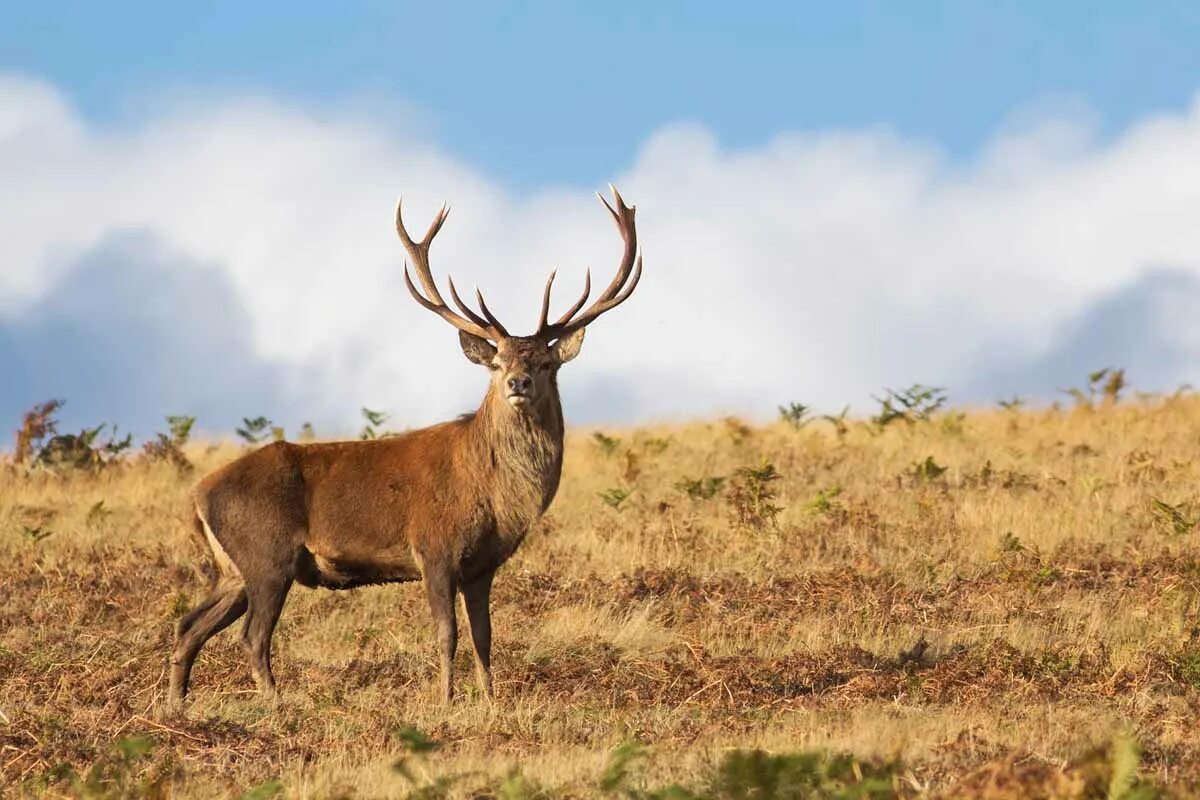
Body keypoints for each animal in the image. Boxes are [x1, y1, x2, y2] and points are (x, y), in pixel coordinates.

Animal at [166, 183, 648, 705]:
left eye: (544, 362)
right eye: (496, 362)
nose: (517, 383)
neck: (494, 496)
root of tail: (197, 495)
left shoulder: (482, 565)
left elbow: (485, 635)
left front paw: (491, 700)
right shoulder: (434, 546)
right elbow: (447, 633)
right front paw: (446, 701)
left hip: (233, 569)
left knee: (188, 625)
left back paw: (177, 704)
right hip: (267, 555)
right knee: (252, 634)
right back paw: (276, 702)